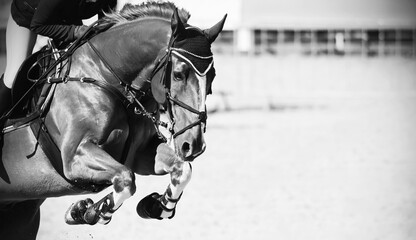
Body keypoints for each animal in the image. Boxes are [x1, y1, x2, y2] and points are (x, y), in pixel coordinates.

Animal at [0, 2, 226, 240]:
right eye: (178, 75)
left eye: (212, 77)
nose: (194, 145)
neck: (106, 75)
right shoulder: (75, 155)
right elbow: (126, 179)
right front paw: (86, 211)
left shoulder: (140, 153)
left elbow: (182, 170)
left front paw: (156, 207)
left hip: (22, 216)